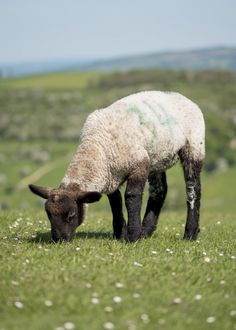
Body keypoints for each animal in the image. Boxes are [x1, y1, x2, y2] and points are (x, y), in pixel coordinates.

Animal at [29, 91, 205, 242]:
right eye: (48, 215)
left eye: (71, 214)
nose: (59, 240)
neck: (97, 147)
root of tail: (182, 97)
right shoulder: (111, 176)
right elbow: (115, 202)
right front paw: (120, 234)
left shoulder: (138, 165)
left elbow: (131, 197)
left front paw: (132, 236)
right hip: (156, 157)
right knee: (159, 190)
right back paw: (146, 231)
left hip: (194, 145)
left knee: (193, 189)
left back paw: (190, 234)